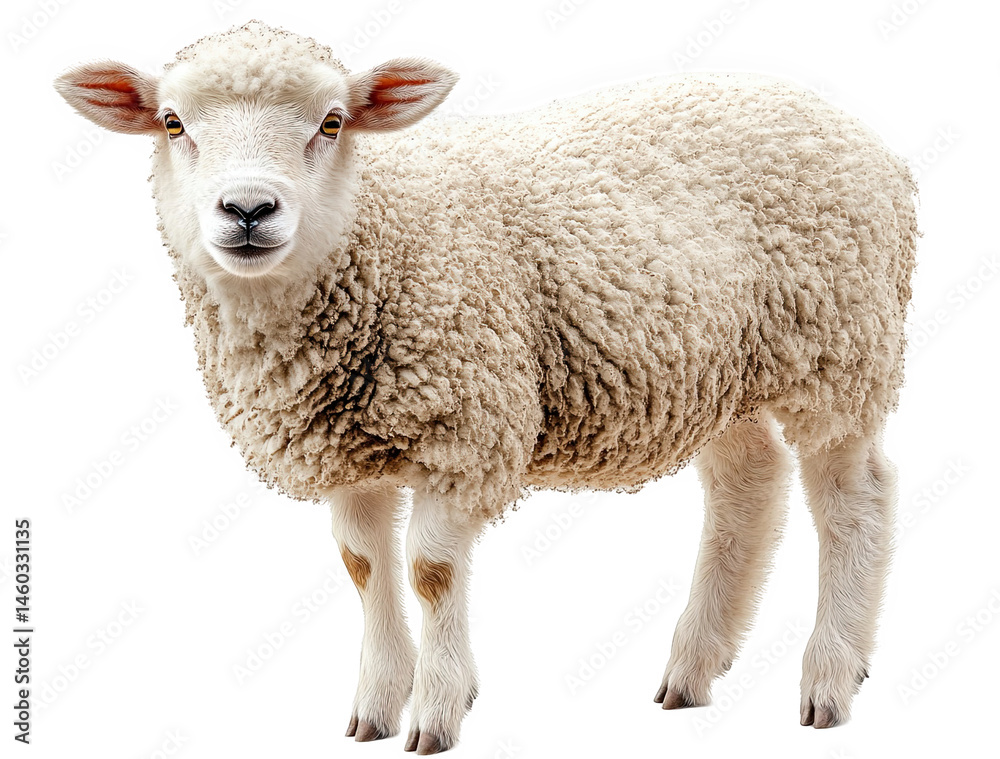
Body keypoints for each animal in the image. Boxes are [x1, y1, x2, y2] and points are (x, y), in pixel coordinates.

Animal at [55, 20, 917, 754]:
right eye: (173, 123)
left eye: (332, 122)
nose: (247, 209)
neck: (376, 236)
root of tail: (870, 141)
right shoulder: (345, 450)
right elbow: (363, 565)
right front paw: (375, 707)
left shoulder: (464, 429)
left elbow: (430, 571)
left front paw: (436, 712)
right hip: (721, 366)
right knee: (749, 486)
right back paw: (693, 667)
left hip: (839, 348)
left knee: (854, 497)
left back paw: (830, 677)